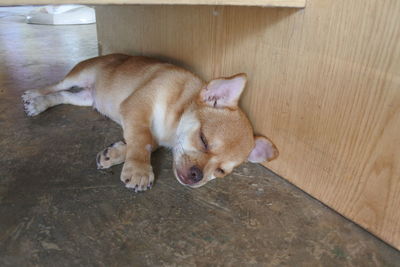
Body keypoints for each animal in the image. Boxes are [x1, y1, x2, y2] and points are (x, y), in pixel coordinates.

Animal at [21, 55, 278, 193]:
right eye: (203, 140)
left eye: (221, 172)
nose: (197, 176)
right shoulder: (136, 107)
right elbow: (142, 139)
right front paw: (139, 170)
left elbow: (140, 141)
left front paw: (115, 154)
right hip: (80, 73)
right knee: (57, 85)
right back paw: (35, 95)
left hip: (85, 98)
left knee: (64, 96)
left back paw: (42, 103)